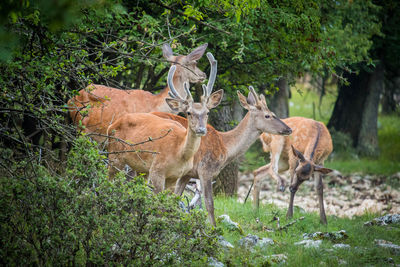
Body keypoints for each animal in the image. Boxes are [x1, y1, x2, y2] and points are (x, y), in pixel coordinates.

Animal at [104, 53, 223, 194]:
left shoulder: (175, 177)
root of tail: (112, 125)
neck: (180, 154)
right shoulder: (157, 170)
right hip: (114, 156)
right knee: (109, 179)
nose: (201, 129)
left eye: (207, 112)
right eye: (188, 112)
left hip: (141, 168)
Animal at [152, 87, 290, 226]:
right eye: (268, 115)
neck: (225, 146)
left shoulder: (187, 174)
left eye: (272, 113)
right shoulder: (205, 169)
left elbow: (176, 197)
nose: (289, 129)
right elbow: (209, 204)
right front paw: (214, 228)